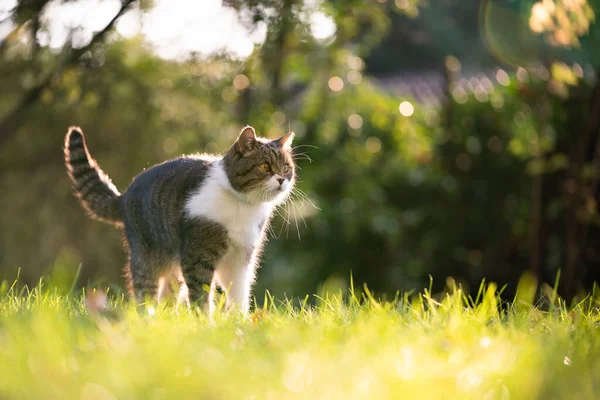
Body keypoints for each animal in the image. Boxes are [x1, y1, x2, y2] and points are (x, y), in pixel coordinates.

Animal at [65, 126, 296, 316]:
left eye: (286, 168)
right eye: (265, 167)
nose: (282, 180)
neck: (242, 204)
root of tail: (123, 197)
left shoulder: (241, 257)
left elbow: (239, 293)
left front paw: (240, 324)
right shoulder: (197, 254)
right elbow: (201, 294)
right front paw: (206, 324)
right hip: (146, 257)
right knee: (144, 292)